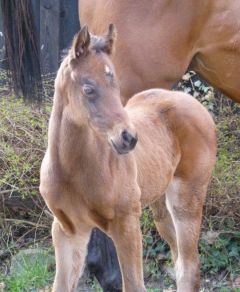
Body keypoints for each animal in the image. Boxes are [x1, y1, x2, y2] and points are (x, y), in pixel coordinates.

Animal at [40, 25, 217, 292]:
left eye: (116, 85)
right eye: (88, 88)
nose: (129, 138)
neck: (72, 171)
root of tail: (194, 103)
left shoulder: (126, 224)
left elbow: (134, 284)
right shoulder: (68, 229)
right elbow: (61, 286)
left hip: (186, 199)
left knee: (189, 267)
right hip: (160, 207)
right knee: (179, 262)